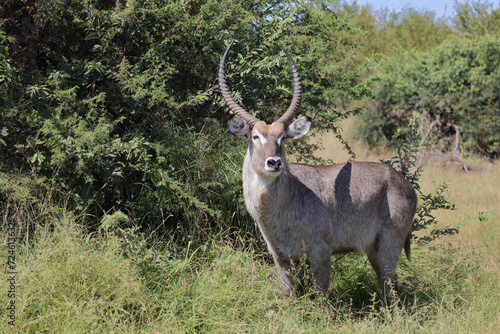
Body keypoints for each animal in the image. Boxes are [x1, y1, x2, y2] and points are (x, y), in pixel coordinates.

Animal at [219, 41, 418, 300]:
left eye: (282, 137)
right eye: (255, 136)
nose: (274, 163)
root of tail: (404, 183)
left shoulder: (321, 253)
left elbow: (321, 296)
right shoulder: (280, 257)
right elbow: (288, 296)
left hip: (389, 245)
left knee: (391, 286)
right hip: (373, 250)